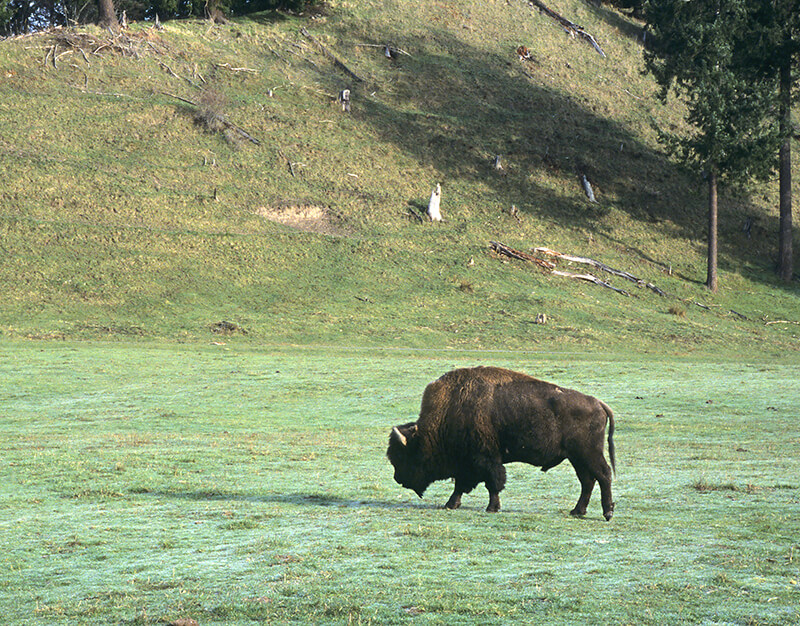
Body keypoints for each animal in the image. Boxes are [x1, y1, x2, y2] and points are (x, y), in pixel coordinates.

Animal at [388, 364, 620, 520]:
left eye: (404, 455)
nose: (398, 479)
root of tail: (598, 403)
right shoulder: (468, 463)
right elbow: (463, 484)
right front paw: (451, 504)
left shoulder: (485, 459)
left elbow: (492, 483)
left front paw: (492, 508)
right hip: (576, 457)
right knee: (587, 481)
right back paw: (577, 511)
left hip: (588, 453)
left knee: (603, 475)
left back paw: (607, 512)